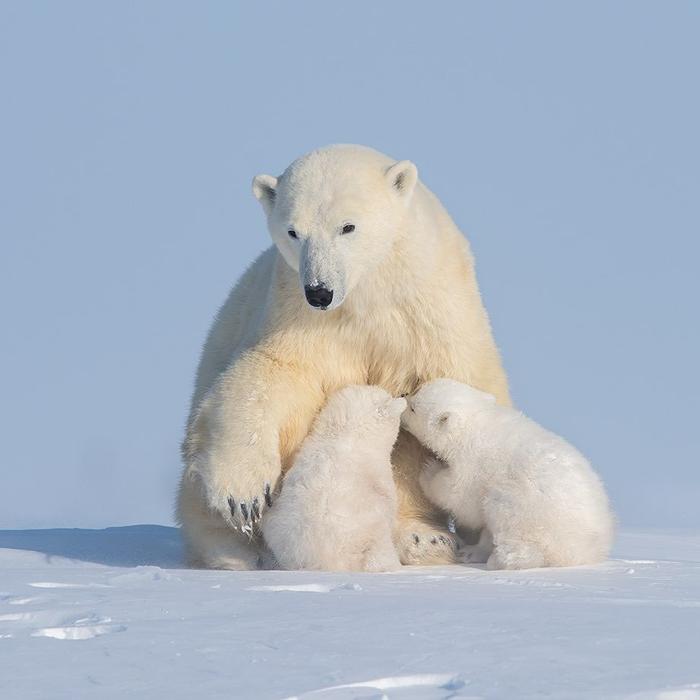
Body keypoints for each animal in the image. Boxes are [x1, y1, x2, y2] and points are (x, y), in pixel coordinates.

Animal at [178, 144, 512, 568]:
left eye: (347, 227)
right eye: (293, 231)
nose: (320, 291)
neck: (367, 295)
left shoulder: (432, 312)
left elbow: (460, 383)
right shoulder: (298, 316)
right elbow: (275, 376)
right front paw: (243, 495)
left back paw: (424, 537)